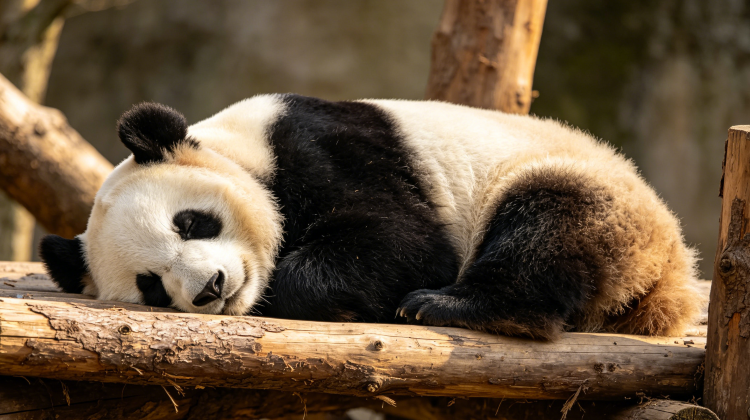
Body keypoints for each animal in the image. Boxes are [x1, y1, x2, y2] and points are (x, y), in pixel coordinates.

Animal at [40, 94, 702, 340]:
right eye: (151, 286)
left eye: (191, 222)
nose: (210, 288)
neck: (238, 147)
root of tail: (671, 274)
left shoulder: (325, 149)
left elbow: (402, 241)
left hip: (592, 194)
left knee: (547, 224)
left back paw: (452, 306)